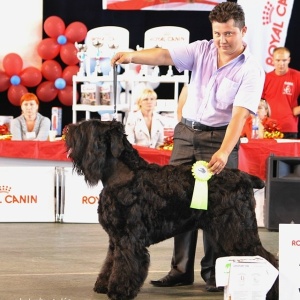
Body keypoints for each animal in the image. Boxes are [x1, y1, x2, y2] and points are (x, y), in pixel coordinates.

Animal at [65, 119, 278, 300]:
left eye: (89, 128)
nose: (68, 130)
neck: (124, 174)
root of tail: (246, 177)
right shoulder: (115, 238)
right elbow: (110, 261)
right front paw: (103, 285)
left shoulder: (129, 238)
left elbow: (126, 263)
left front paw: (119, 291)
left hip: (239, 231)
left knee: (267, 258)